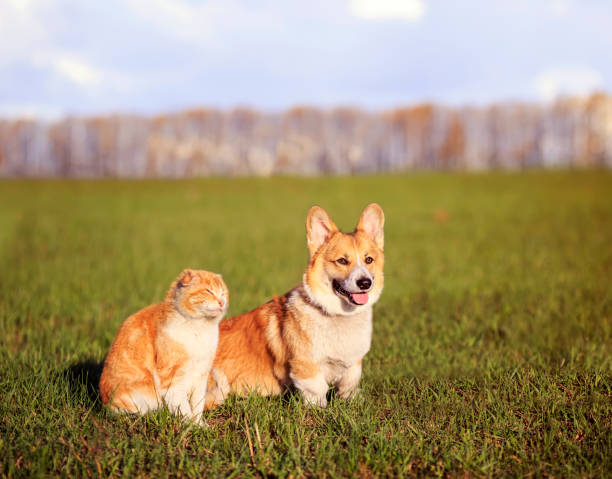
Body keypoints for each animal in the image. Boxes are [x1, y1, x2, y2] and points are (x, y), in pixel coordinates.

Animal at [100, 268, 230, 426]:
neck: (200, 329)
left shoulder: (201, 374)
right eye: (208, 291)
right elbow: (183, 406)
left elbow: (197, 404)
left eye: (223, 293)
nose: (222, 302)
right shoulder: (173, 376)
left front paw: (199, 425)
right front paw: (190, 425)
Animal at [208, 202, 384, 408]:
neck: (338, 314)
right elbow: (317, 390)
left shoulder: (353, 364)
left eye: (369, 260)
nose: (365, 283)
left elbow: (350, 384)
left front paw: (354, 401)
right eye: (342, 261)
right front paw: (320, 410)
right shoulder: (306, 366)